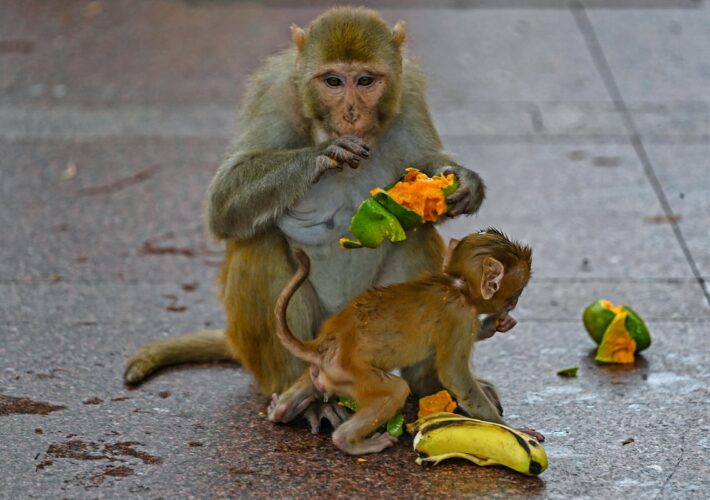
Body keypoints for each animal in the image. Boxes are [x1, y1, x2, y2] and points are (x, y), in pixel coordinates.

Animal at [124, 7, 486, 429]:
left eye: (365, 80)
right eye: (333, 81)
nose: (350, 113)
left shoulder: (408, 91)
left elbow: (426, 168)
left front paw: (463, 182)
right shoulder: (273, 93)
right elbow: (222, 202)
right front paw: (325, 153)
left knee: (416, 236)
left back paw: (430, 384)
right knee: (259, 244)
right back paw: (302, 396)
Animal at [268, 229, 543, 455]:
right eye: (516, 294)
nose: (513, 304)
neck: (458, 287)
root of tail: (324, 345)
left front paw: (492, 325)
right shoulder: (460, 316)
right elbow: (454, 375)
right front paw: (511, 428)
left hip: (323, 371)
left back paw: (280, 410)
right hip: (350, 373)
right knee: (396, 390)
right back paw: (348, 441)